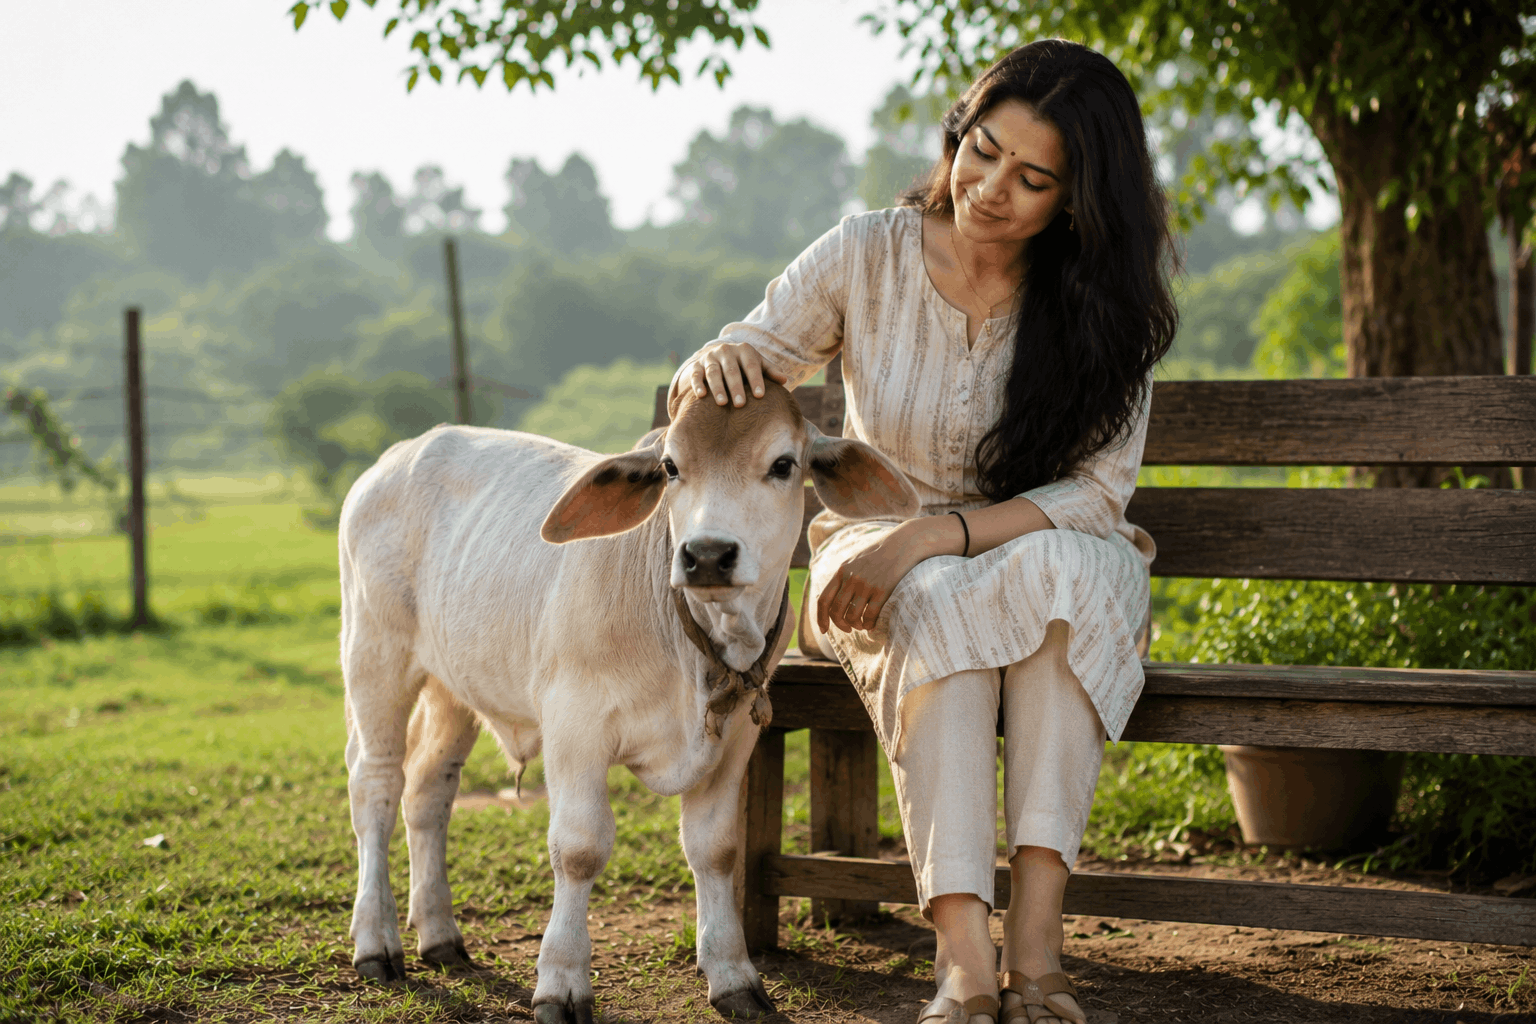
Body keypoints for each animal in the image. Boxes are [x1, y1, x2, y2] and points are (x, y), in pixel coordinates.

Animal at [336, 380, 919, 1022]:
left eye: (784, 465)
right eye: (670, 468)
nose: (706, 554)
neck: (693, 643)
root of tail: (401, 453)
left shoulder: (737, 737)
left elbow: (717, 849)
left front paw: (732, 974)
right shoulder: (575, 726)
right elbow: (579, 849)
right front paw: (561, 981)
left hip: (453, 687)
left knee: (428, 791)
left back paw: (440, 935)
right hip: (375, 656)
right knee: (376, 786)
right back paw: (376, 941)